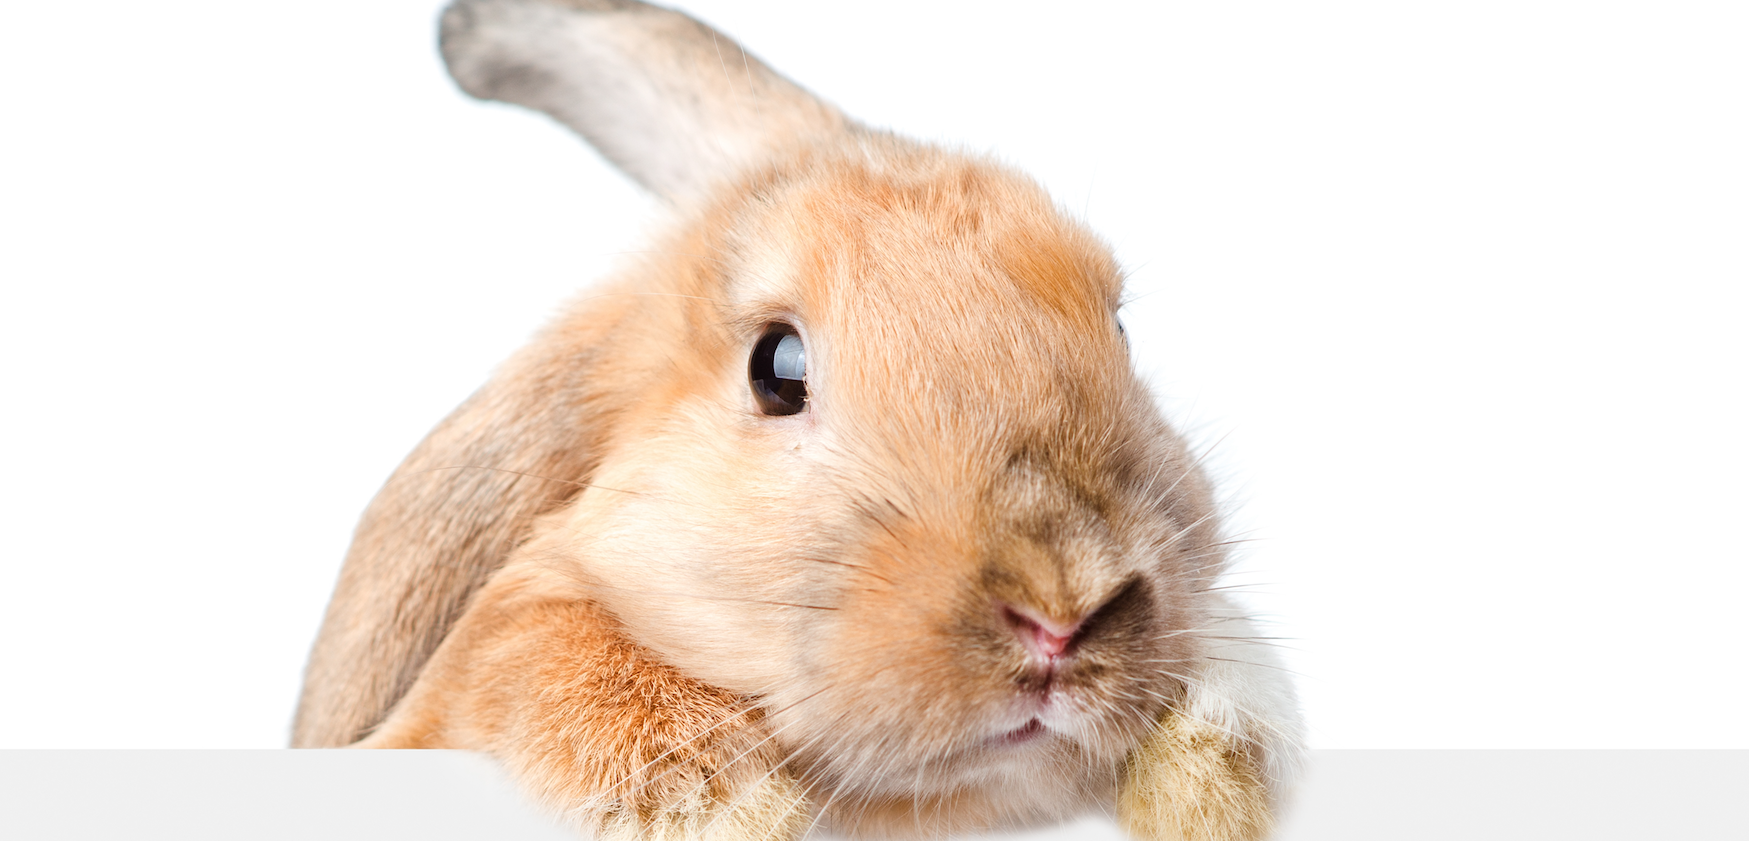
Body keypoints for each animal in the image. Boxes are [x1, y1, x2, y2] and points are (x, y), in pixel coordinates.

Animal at [292, 1, 1305, 839]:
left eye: (1120, 329)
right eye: (775, 370)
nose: (1060, 615)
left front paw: (1206, 782)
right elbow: (527, 645)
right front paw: (736, 807)